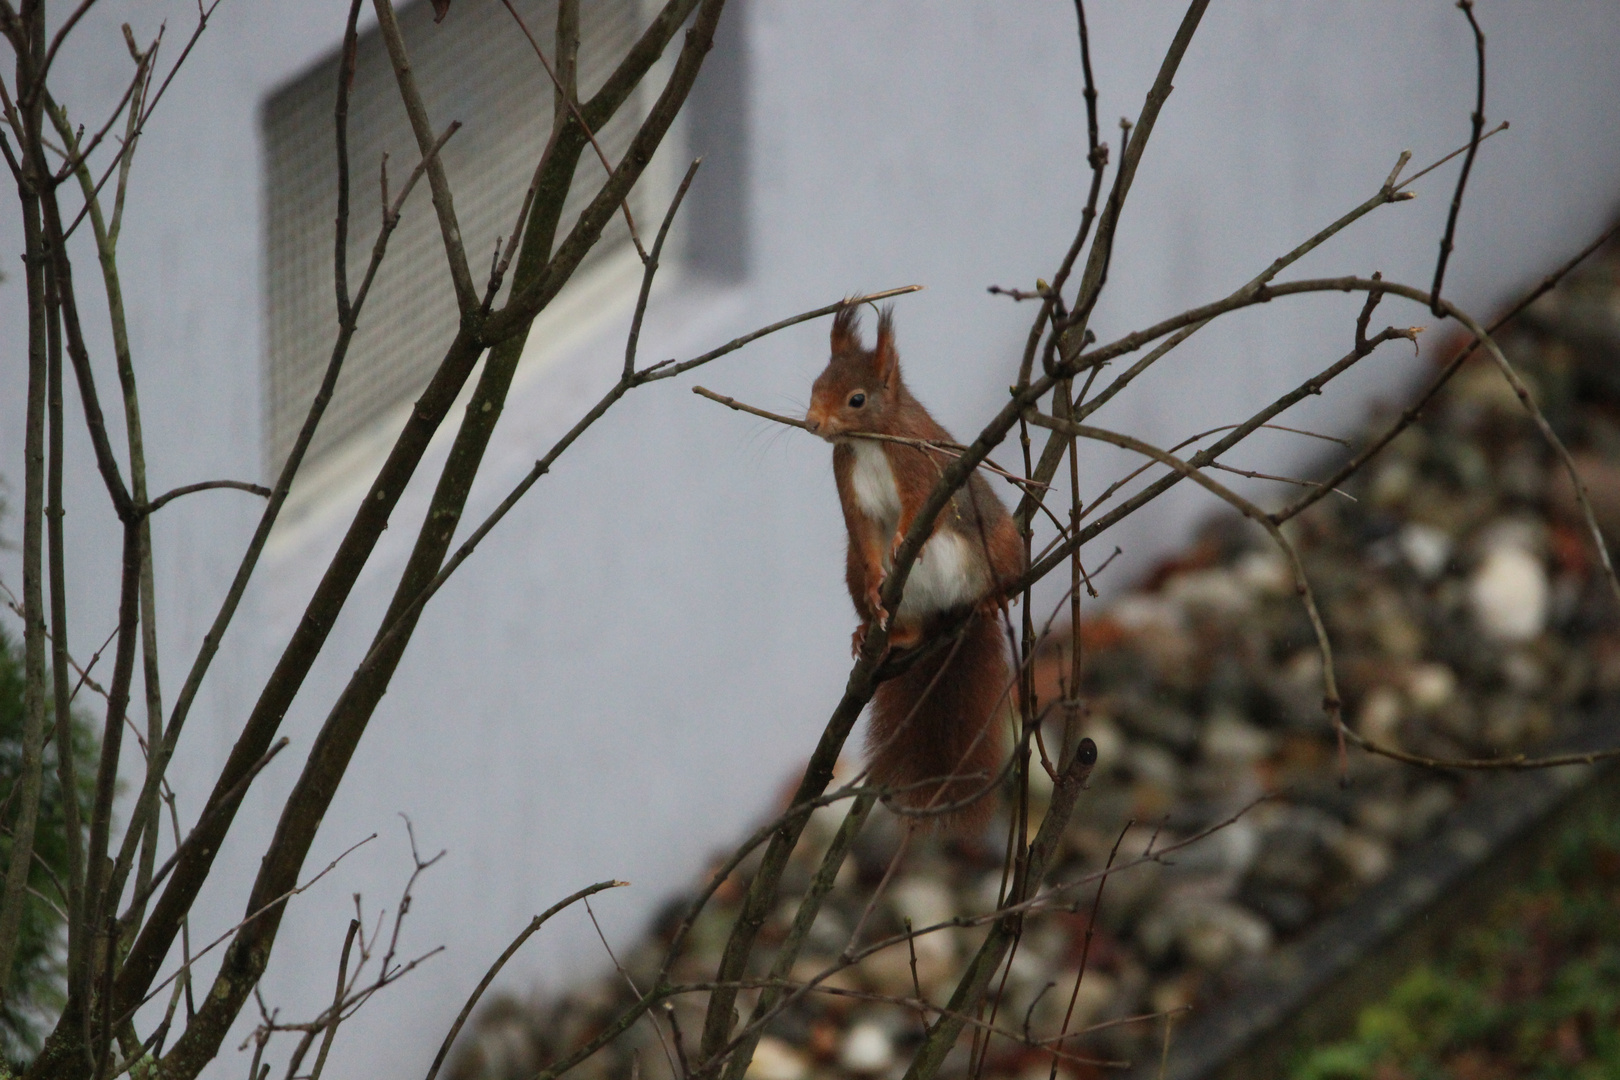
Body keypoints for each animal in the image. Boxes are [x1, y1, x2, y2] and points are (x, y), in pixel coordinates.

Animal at [803, 307, 1017, 835]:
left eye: (857, 399)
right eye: (815, 384)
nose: (811, 422)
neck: (869, 442)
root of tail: (949, 614)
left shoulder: (922, 466)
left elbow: (922, 507)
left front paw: (904, 539)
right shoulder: (848, 483)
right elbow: (863, 532)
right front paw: (879, 581)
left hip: (1002, 545)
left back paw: (993, 597)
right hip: (859, 579)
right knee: (909, 625)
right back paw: (879, 632)